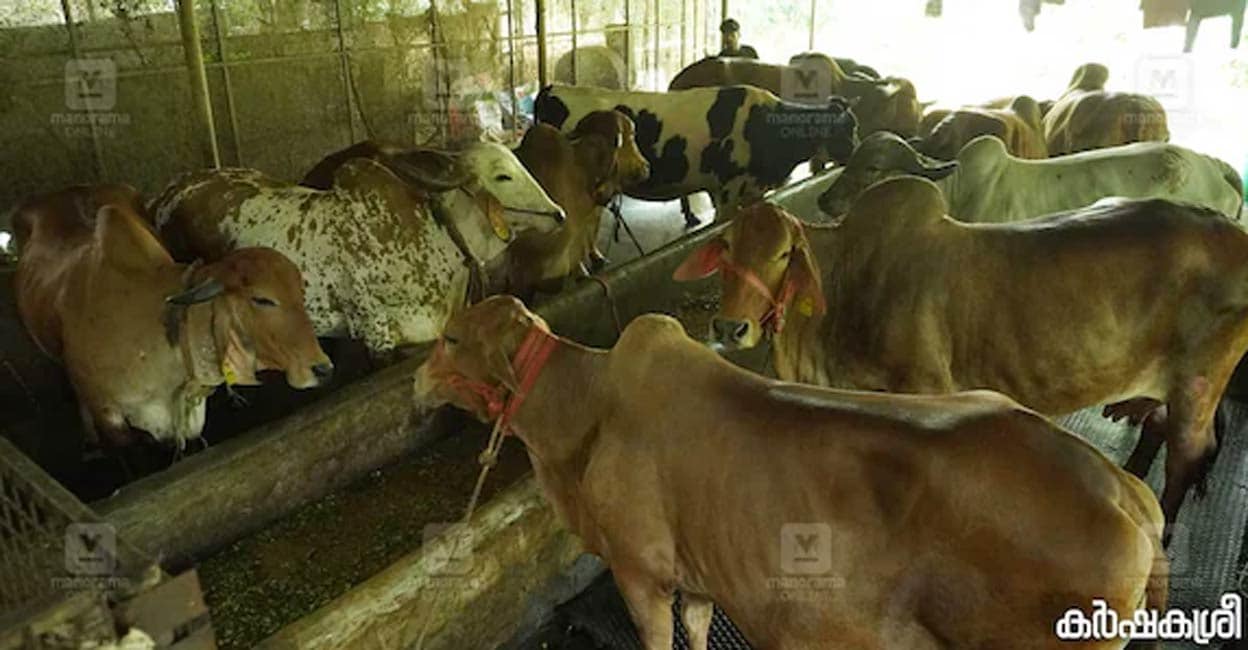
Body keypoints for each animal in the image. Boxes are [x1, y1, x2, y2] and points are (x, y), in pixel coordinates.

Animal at [414, 296, 1163, 648]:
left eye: (451, 337)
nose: (419, 382)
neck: (582, 417)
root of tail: (1125, 494)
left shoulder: (638, 570)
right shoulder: (702, 572)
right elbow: (697, 631)